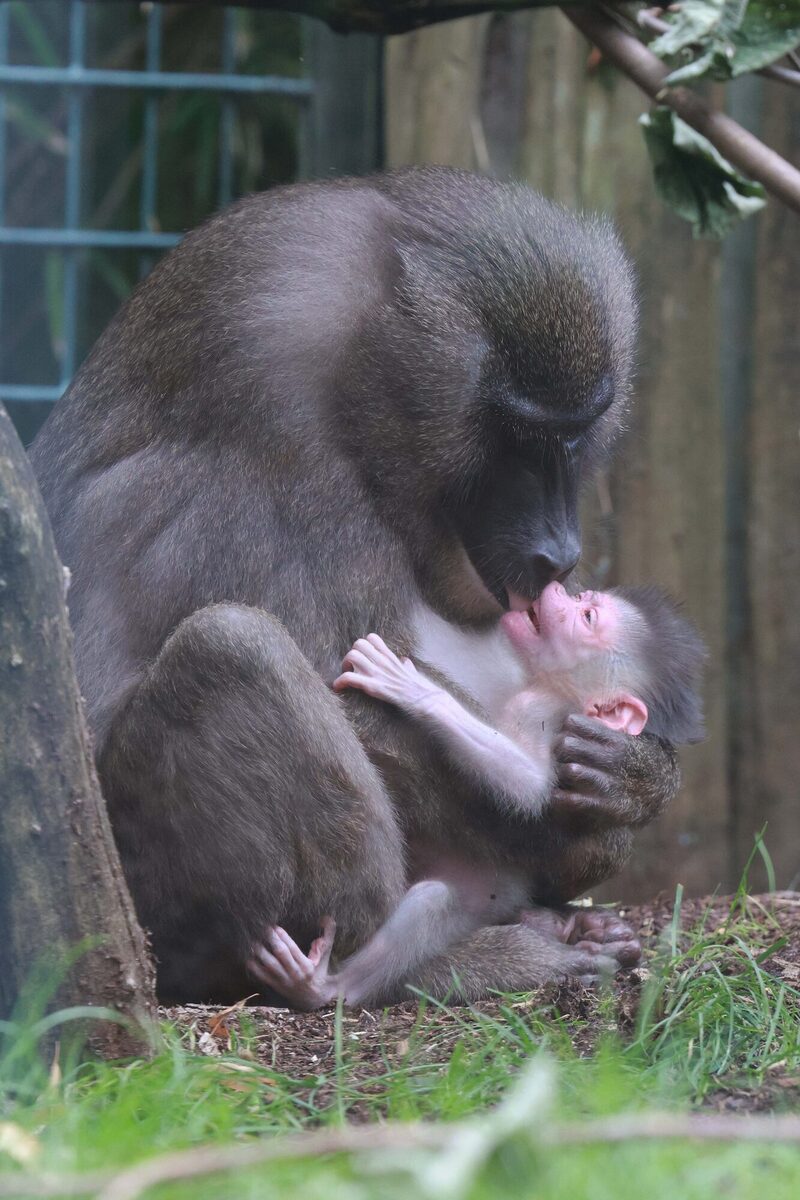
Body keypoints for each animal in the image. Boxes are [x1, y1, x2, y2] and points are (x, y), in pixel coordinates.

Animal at [248, 578, 700, 1003]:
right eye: (584, 600)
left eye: (587, 616)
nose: (560, 589)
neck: (542, 685)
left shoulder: (541, 711)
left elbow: (529, 787)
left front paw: (414, 690)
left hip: (480, 896)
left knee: (432, 902)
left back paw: (323, 986)